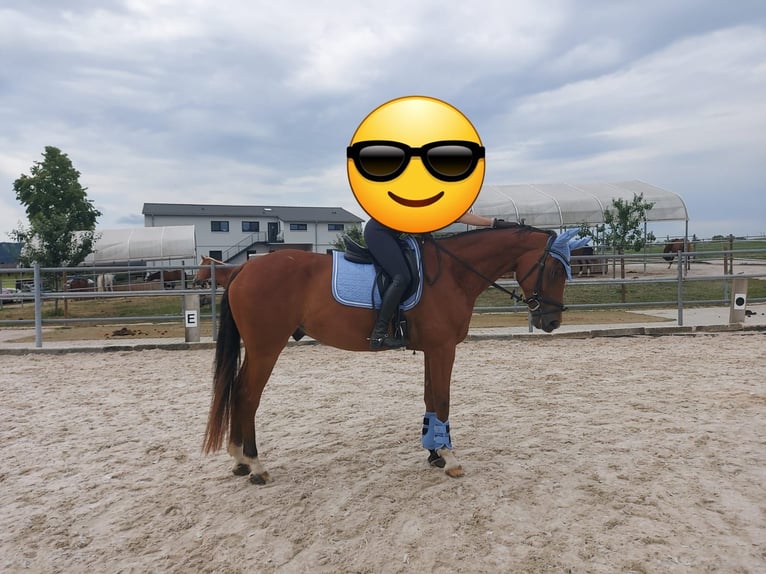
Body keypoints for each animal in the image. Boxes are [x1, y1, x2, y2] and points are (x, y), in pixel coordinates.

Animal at [203, 224, 581, 485]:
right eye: (554, 269)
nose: (551, 321)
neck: (453, 274)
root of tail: (245, 268)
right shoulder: (444, 350)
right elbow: (443, 400)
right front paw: (449, 457)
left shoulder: (432, 350)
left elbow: (430, 399)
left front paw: (433, 452)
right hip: (266, 348)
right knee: (247, 395)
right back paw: (255, 464)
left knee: (237, 391)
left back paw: (239, 459)